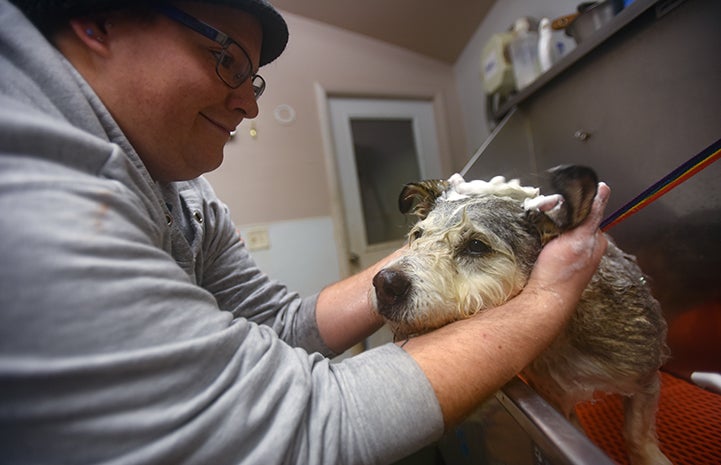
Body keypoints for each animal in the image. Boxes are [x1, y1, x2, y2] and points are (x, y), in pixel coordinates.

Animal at [372, 165, 668, 464]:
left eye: (476, 245)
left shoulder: (645, 378)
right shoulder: (557, 399)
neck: (563, 338)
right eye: (418, 235)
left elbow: (636, 434)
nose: (385, 283)